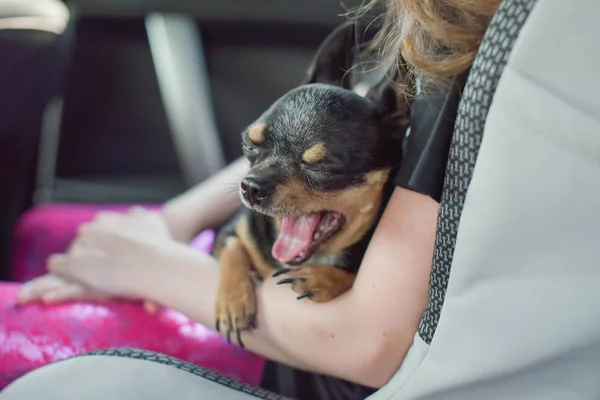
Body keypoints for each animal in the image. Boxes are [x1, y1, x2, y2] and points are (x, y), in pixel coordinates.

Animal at [213, 21, 406, 344]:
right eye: (250, 145)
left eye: (323, 167)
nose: (251, 186)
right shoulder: (230, 230)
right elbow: (232, 247)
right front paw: (232, 301)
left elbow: (352, 274)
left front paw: (323, 278)